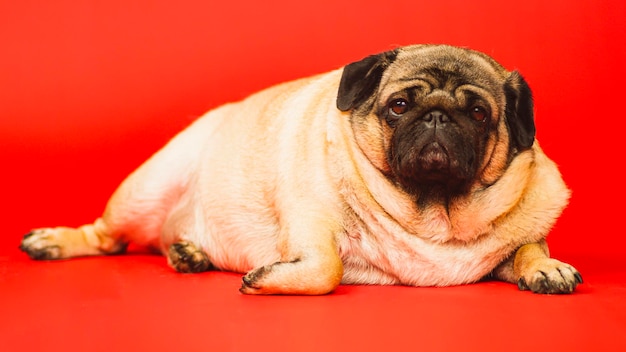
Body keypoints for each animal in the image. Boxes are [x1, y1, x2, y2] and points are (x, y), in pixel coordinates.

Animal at [19, 44, 580, 296]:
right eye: (399, 106)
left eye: (479, 114)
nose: (438, 115)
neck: (431, 214)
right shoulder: (311, 217)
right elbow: (327, 267)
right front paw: (266, 279)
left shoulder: (513, 238)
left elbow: (528, 246)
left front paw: (546, 267)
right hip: (143, 191)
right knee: (107, 238)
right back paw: (55, 242)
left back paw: (188, 252)